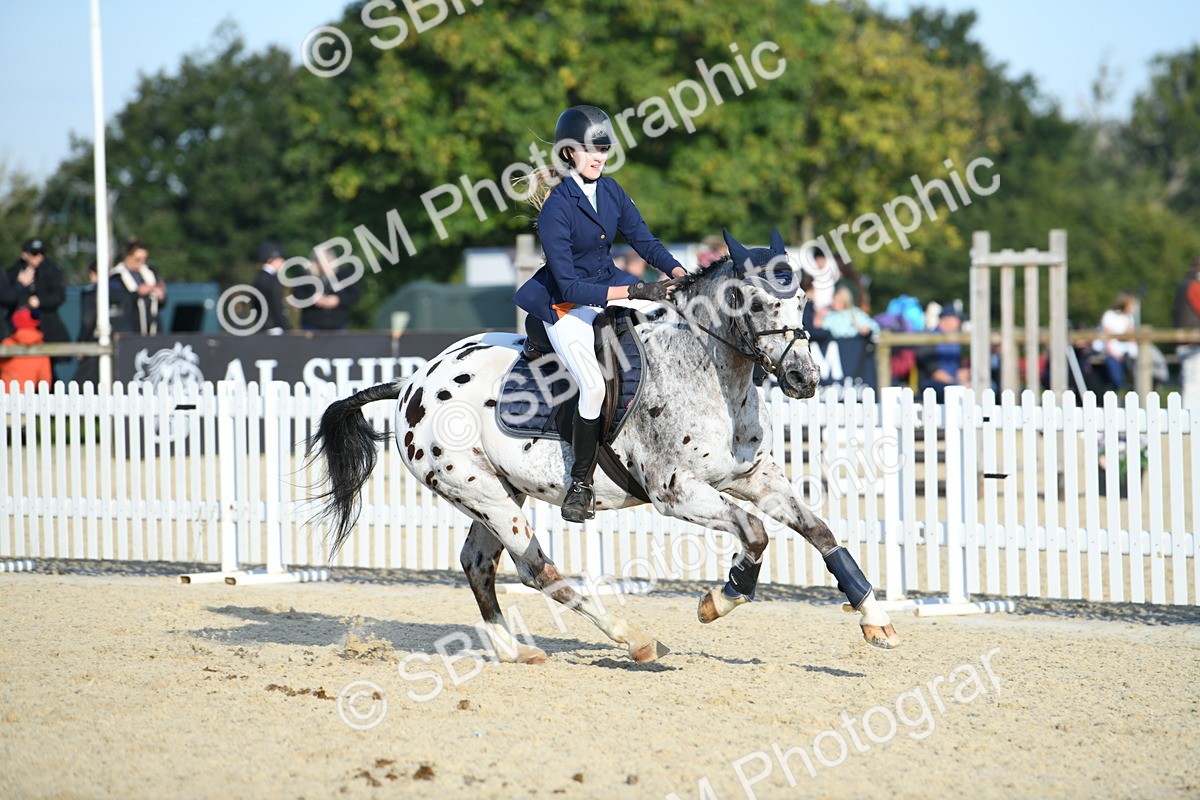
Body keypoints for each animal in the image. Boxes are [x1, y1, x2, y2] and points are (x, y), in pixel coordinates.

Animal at [307, 228, 899, 664]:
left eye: (800, 298)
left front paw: (875, 620)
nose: (804, 378)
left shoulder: (751, 476)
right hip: (481, 494)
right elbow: (754, 533)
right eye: (752, 302)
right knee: (536, 571)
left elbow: (820, 531)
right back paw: (631, 638)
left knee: (478, 563)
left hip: (498, 493)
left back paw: (514, 651)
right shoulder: (677, 492)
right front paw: (720, 599)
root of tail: (414, 381)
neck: (707, 374)